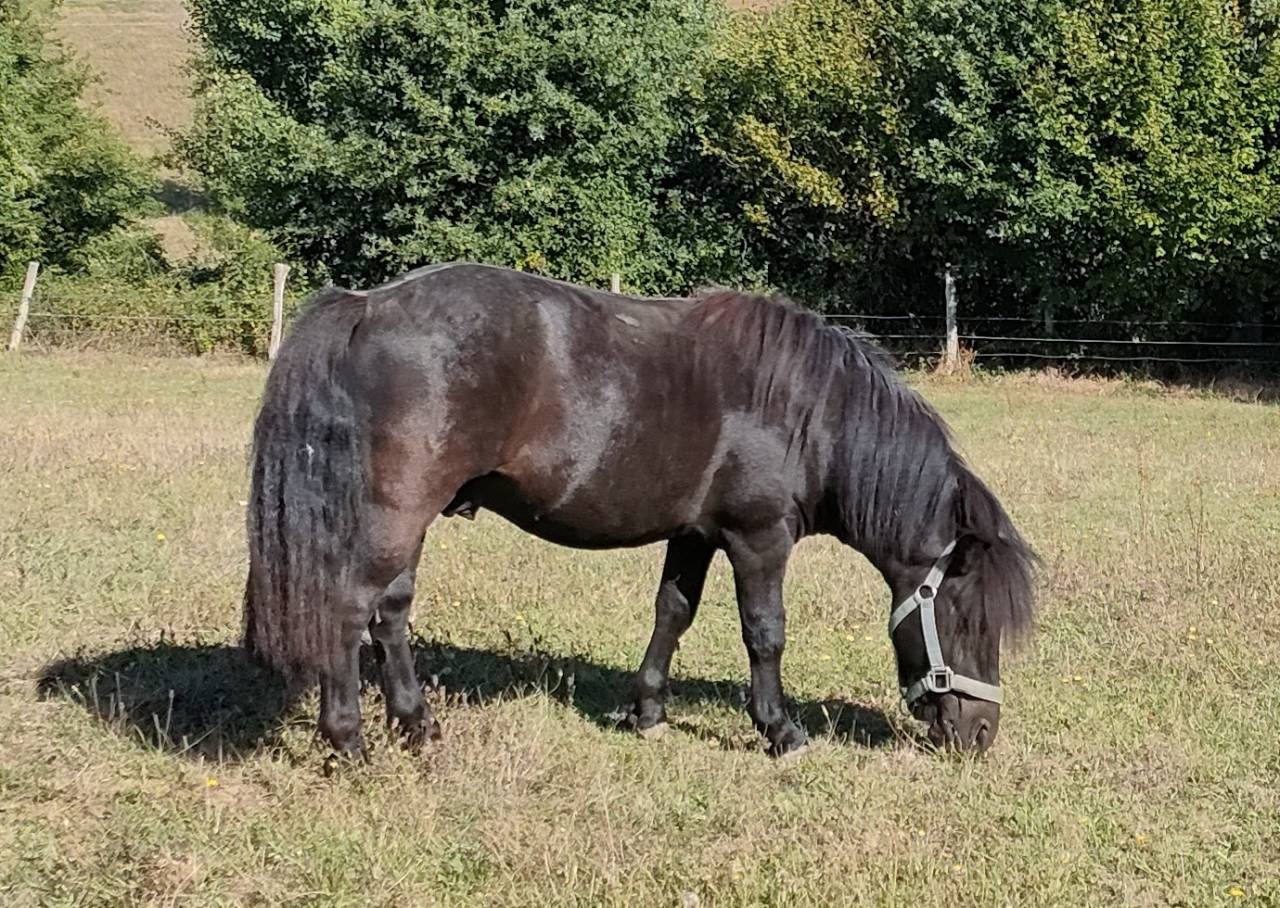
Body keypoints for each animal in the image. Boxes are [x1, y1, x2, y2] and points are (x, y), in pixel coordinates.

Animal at [243, 262, 1037, 759]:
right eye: (968, 619)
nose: (982, 734)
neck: (810, 412)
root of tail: (367, 306)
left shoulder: (695, 534)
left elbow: (672, 614)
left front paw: (647, 712)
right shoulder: (758, 538)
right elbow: (765, 634)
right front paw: (780, 731)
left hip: (404, 520)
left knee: (391, 612)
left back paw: (417, 726)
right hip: (393, 515)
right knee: (349, 610)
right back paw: (349, 740)